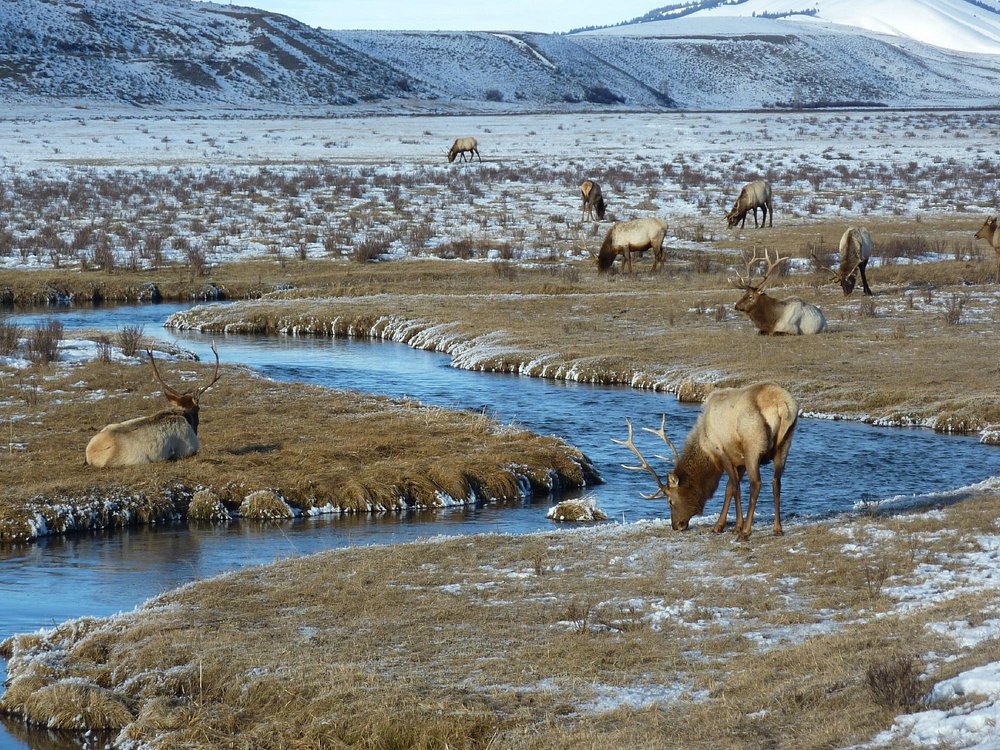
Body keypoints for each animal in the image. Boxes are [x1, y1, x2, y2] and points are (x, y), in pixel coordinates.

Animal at [614, 382, 798, 541]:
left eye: (670, 501)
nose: (676, 525)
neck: (706, 450)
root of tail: (781, 405)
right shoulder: (739, 460)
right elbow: (729, 488)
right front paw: (719, 526)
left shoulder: (722, 451)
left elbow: (735, 487)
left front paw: (736, 527)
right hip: (785, 444)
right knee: (776, 482)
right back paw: (777, 529)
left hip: (753, 444)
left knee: (756, 484)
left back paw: (745, 533)